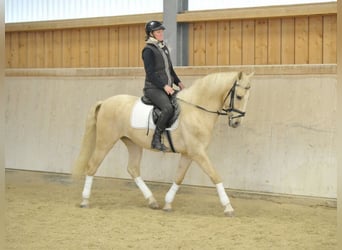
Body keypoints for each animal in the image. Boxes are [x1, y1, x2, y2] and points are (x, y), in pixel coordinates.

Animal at [73, 71, 254, 216]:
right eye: (239, 96)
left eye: (247, 97)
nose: (236, 123)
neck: (196, 111)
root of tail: (105, 102)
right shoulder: (198, 152)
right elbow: (215, 175)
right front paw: (228, 207)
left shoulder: (189, 154)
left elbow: (179, 177)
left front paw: (167, 203)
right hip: (105, 141)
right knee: (92, 166)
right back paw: (85, 201)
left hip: (133, 144)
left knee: (133, 169)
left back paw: (152, 201)